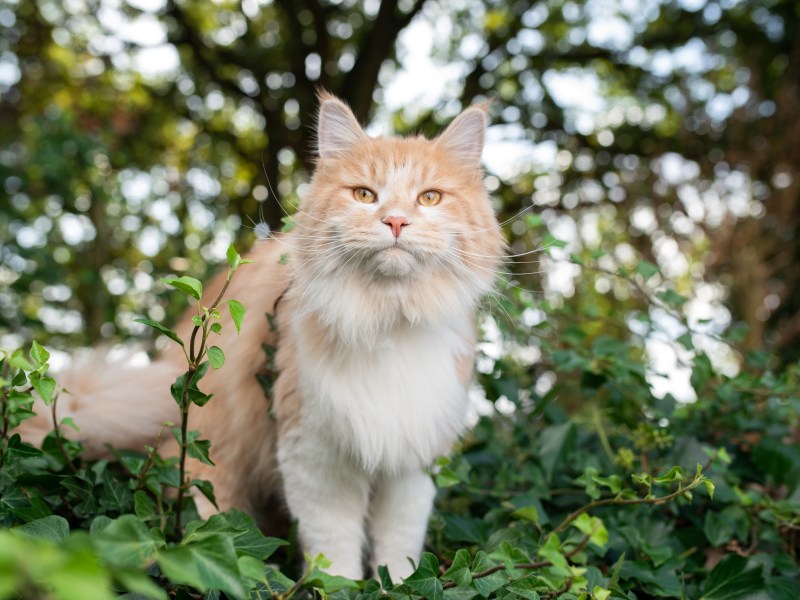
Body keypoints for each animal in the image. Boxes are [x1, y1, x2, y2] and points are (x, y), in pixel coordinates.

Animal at [18, 95, 504, 580]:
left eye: (430, 197)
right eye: (365, 195)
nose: (397, 221)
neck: (386, 319)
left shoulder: (411, 462)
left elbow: (399, 552)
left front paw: (398, 585)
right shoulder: (313, 453)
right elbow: (334, 555)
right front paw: (342, 586)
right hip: (210, 472)